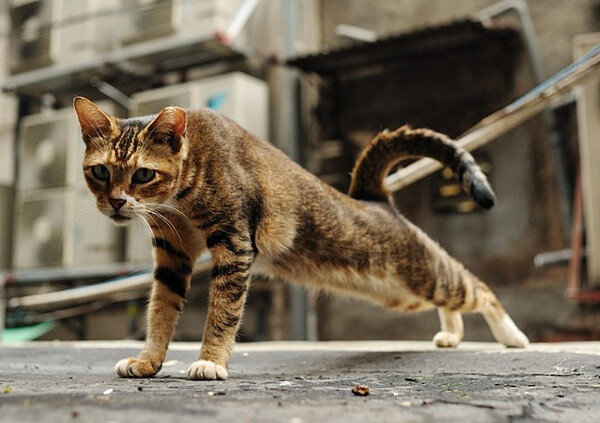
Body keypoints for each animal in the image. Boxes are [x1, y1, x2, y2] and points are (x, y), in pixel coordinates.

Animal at [72, 97, 528, 382]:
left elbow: (222, 313)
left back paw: (512, 337)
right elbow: (160, 312)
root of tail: (374, 197)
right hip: (403, 293)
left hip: (420, 276)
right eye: (100, 171)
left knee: (478, 288)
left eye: (143, 174)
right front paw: (148, 361)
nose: (116, 203)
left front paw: (210, 362)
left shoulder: (234, 244)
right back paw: (451, 335)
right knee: (451, 300)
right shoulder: (172, 255)